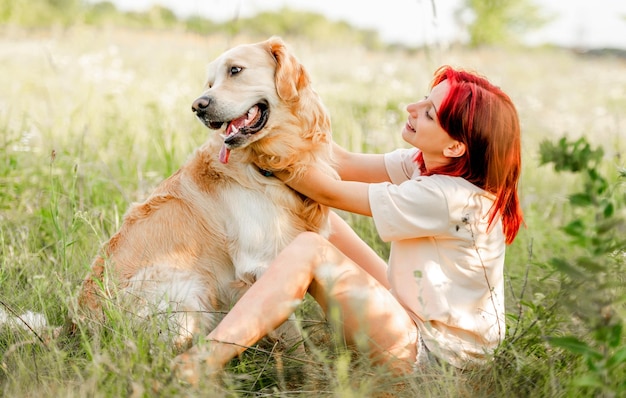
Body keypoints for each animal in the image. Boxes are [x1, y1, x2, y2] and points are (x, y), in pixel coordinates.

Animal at [74, 37, 336, 352]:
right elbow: (292, 335)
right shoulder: (262, 264)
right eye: (209, 83)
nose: (197, 106)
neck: (265, 164)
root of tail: (81, 324)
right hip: (186, 290)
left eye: (235, 70)